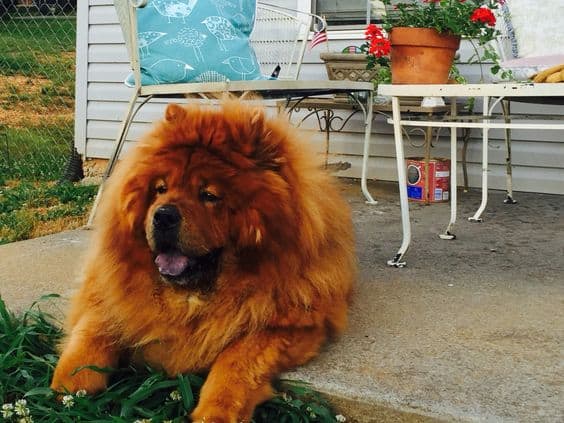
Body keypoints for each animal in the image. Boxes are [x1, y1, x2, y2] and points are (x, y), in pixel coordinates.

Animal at [50, 98, 354, 420]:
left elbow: (236, 361)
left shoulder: (288, 323)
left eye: (209, 195)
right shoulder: (106, 288)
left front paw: (215, 412)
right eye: (160, 189)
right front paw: (69, 387)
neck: (190, 298)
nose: (163, 215)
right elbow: (92, 331)